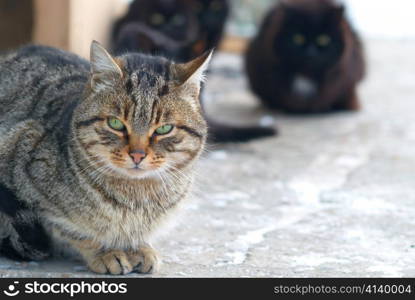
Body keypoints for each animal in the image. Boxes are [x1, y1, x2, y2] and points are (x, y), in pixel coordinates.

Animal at [0, 41, 210, 274]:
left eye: (164, 129)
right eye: (115, 123)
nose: (137, 154)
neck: (135, 198)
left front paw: (140, 247)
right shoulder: (22, 153)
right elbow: (73, 230)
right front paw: (106, 251)